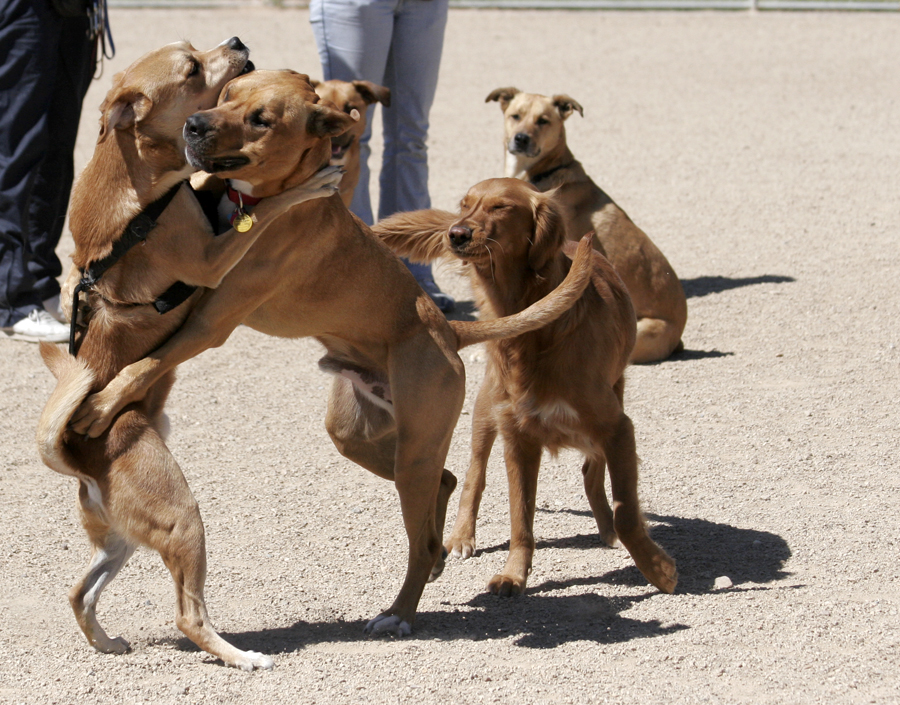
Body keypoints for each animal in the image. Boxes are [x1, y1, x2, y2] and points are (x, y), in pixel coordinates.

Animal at [35, 41, 342, 668]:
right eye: (193, 69)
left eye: (194, 50)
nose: (239, 42)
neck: (143, 185)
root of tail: (78, 456)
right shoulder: (210, 257)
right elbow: (265, 210)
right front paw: (309, 184)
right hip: (183, 520)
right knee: (188, 615)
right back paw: (242, 657)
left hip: (123, 539)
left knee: (79, 592)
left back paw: (107, 641)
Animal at [370, 179, 676, 596]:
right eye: (465, 205)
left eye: (501, 207)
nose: (457, 233)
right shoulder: (518, 437)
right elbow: (520, 520)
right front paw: (514, 574)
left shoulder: (616, 427)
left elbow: (626, 510)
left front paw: (657, 569)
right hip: (486, 408)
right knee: (473, 477)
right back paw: (461, 537)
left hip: (613, 394)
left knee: (593, 471)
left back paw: (606, 526)